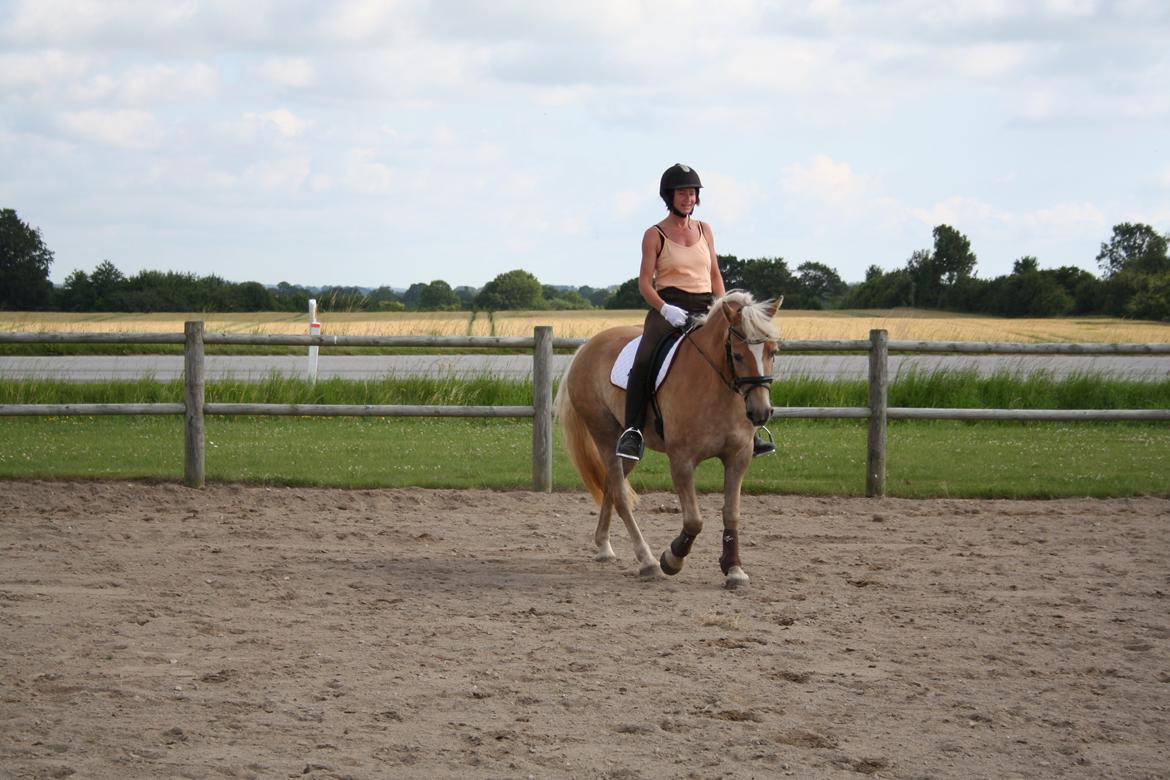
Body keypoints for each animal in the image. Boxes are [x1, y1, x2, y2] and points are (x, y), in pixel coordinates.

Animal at [552, 290, 781, 589]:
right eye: (738, 355)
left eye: (772, 352)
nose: (760, 412)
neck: (715, 385)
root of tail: (587, 346)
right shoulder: (682, 459)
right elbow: (694, 520)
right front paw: (672, 559)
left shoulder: (738, 457)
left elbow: (731, 513)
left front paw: (734, 569)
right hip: (605, 435)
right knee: (620, 495)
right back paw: (647, 560)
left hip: (627, 450)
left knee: (611, 486)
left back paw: (604, 547)